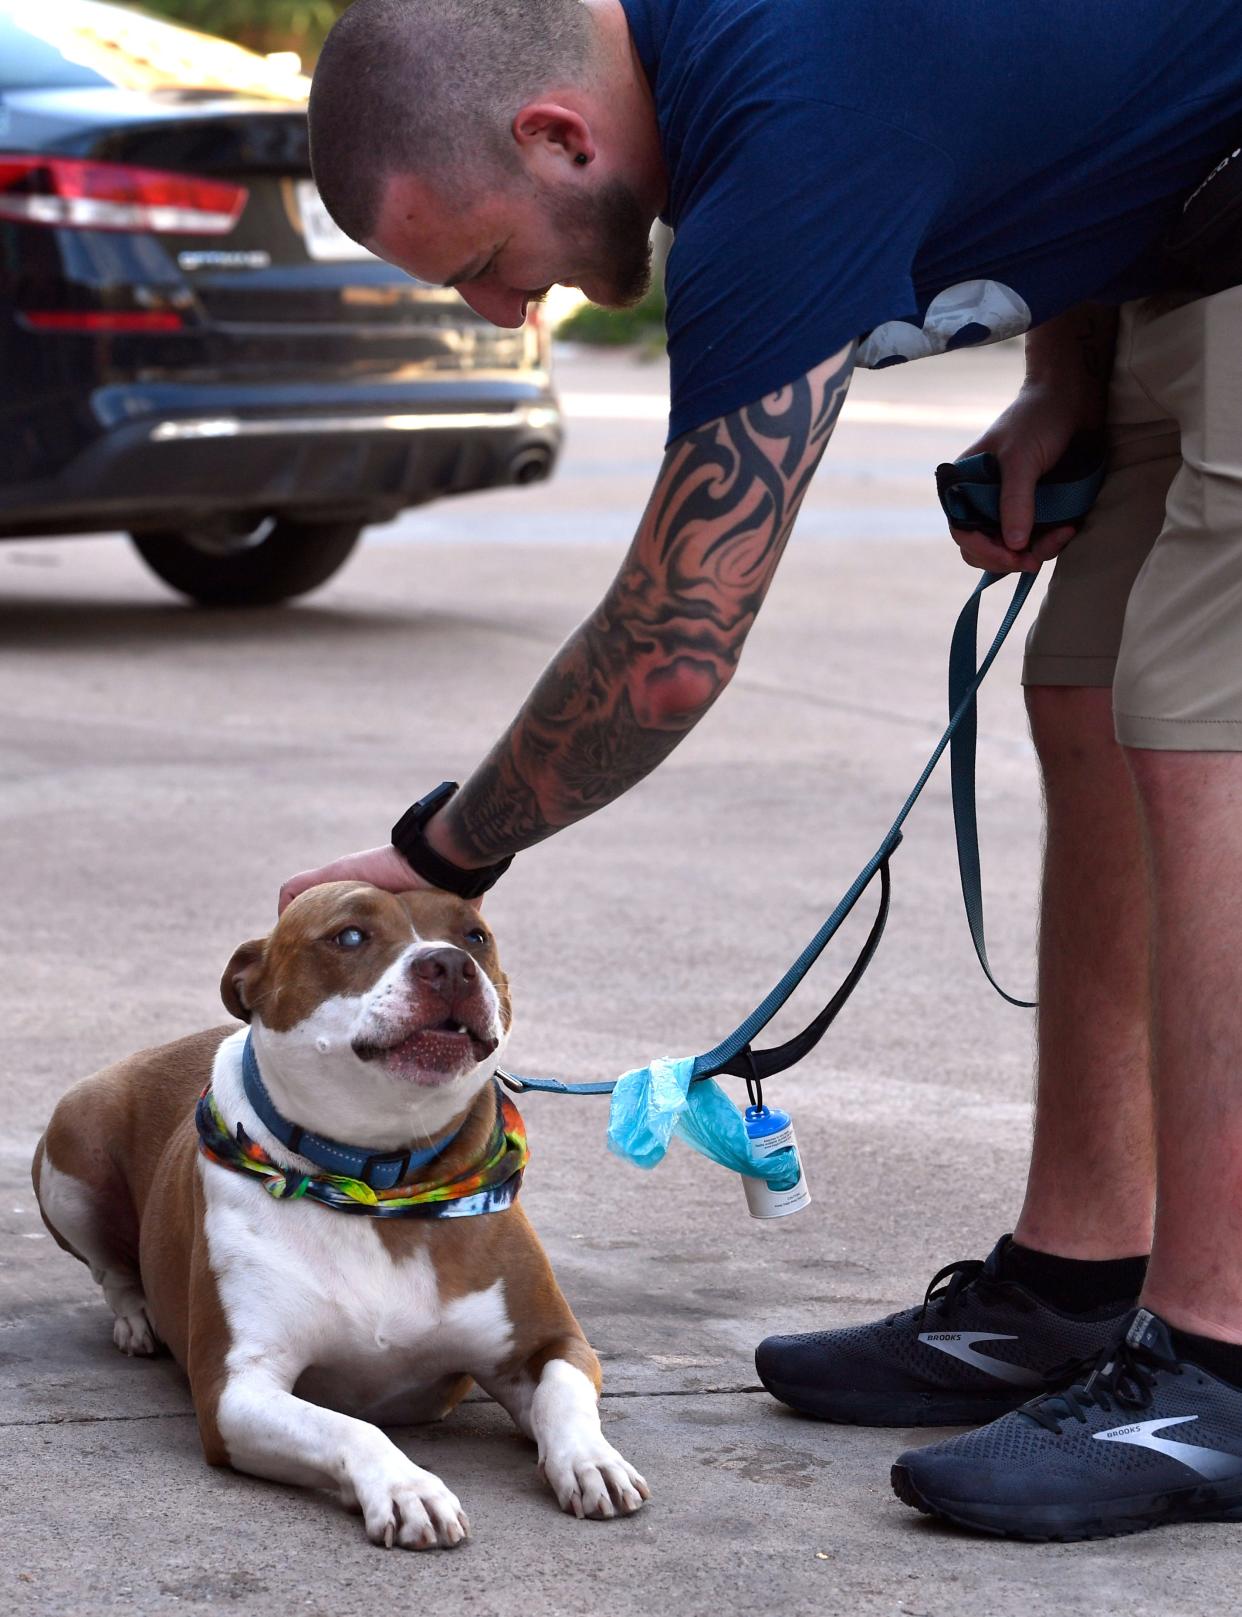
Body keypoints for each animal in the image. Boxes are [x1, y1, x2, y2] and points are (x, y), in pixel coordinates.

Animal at [31, 886, 650, 1552]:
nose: (450, 964)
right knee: (110, 1269)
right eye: (349, 936)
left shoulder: (549, 1342)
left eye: (475, 935)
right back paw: (137, 1319)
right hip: (74, 1141)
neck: (379, 1184)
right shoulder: (235, 1391)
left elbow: (563, 1392)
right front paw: (408, 1488)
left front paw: (592, 1459)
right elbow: (352, 1427)